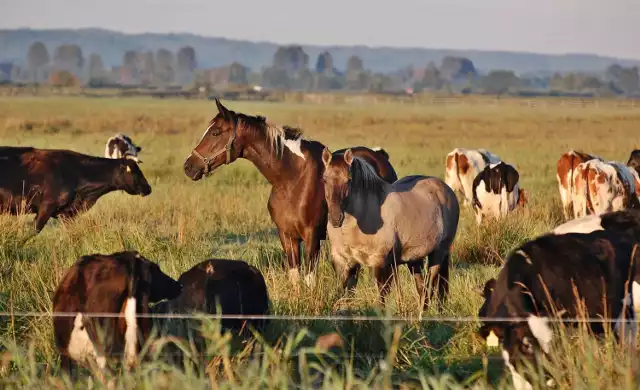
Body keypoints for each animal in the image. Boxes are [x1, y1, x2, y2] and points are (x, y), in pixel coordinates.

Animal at [182, 99, 398, 284]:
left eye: (216, 133)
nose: (189, 166)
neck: (292, 179)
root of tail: (380, 156)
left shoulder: (312, 237)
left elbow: (309, 279)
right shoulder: (287, 236)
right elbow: (295, 277)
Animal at [322, 148, 458, 310]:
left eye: (348, 180)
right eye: (324, 179)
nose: (335, 218)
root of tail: (446, 189)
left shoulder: (379, 262)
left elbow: (381, 296)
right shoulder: (344, 262)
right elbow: (344, 294)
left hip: (439, 252)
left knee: (430, 283)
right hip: (414, 259)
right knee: (422, 287)